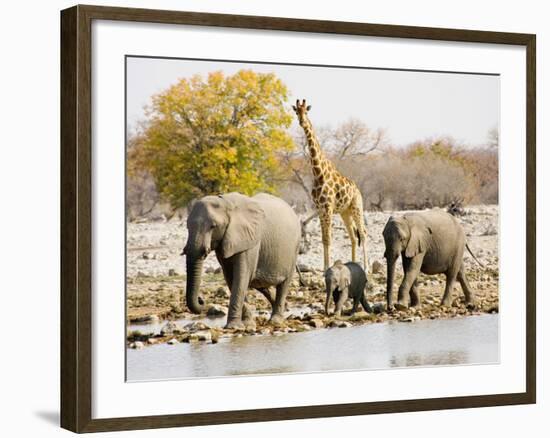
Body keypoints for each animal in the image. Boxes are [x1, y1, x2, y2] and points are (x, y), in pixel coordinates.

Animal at [183, 192, 302, 328]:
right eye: (187, 227)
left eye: (213, 226)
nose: (201, 299)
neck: (225, 202)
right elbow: (231, 278)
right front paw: (247, 323)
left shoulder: (249, 240)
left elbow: (241, 277)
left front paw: (233, 327)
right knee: (259, 283)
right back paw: (286, 308)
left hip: (294, 249)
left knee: (283, 284)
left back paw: (276, 320)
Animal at [294, 99, 370, 272]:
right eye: (296, 112)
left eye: (306, 112)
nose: (302, 122)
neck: (318, 173)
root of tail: (358, 190)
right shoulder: (320, 208)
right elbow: (324, 238)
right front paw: (324, 267)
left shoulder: (327, 207)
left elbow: (328, 238)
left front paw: (327, 267)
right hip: (345, 212)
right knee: (353, 236)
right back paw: (353, 264)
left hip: (356, 207)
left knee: (363, 233)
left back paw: (366, 267)